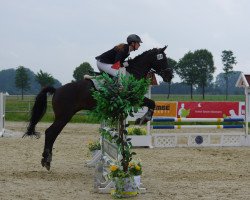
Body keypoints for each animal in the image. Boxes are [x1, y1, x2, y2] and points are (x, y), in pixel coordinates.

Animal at [23, 45, 172, 170]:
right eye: (163, 59)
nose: (169, 76)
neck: (132, 72)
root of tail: (57, 90)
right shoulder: (133, 98)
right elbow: (152, 103)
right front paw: (144, 119)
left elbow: (151, 103)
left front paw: (142, 118)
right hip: (64, 116)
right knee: (51, 132)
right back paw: (47, 160)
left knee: (52, 133)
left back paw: (46, 160)